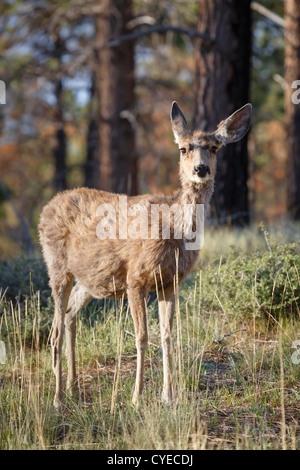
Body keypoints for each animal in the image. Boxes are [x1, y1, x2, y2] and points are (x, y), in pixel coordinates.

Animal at [38, 100, 252, 408]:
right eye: (183, 148)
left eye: (214, 147)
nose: (200, 169)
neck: (174, 230)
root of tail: (47, 208)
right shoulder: (135, 278)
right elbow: (142, 336)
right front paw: (137, 397)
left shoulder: (170, 282)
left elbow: (167, 336)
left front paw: (168, 396)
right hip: (57, 267)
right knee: (54, 329)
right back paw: (57, 398)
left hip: (90, 280)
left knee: (68, 316)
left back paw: (73, 388)